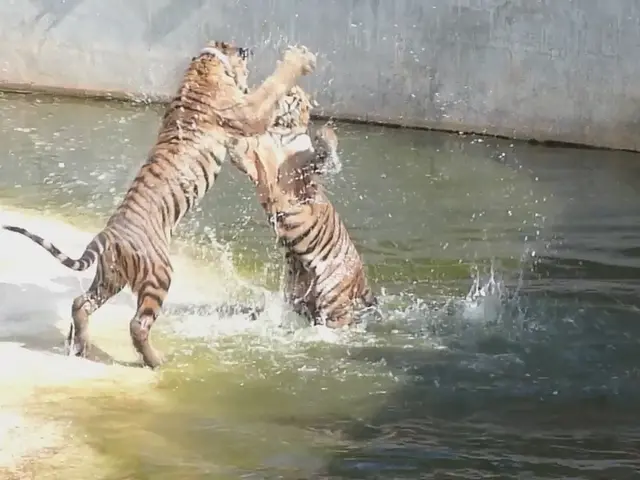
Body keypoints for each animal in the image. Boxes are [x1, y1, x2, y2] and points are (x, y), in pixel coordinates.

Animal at [1, 41, 317, 369]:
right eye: (238, 51)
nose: (247, 49)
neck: (204, 66)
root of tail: (108, 235)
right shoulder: (247, 112)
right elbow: (272, 86)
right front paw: (299, 60)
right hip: (159, 274)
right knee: (137, 323)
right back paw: (156, 360)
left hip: (109, 277)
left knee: (81, 302)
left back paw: (81, 346)